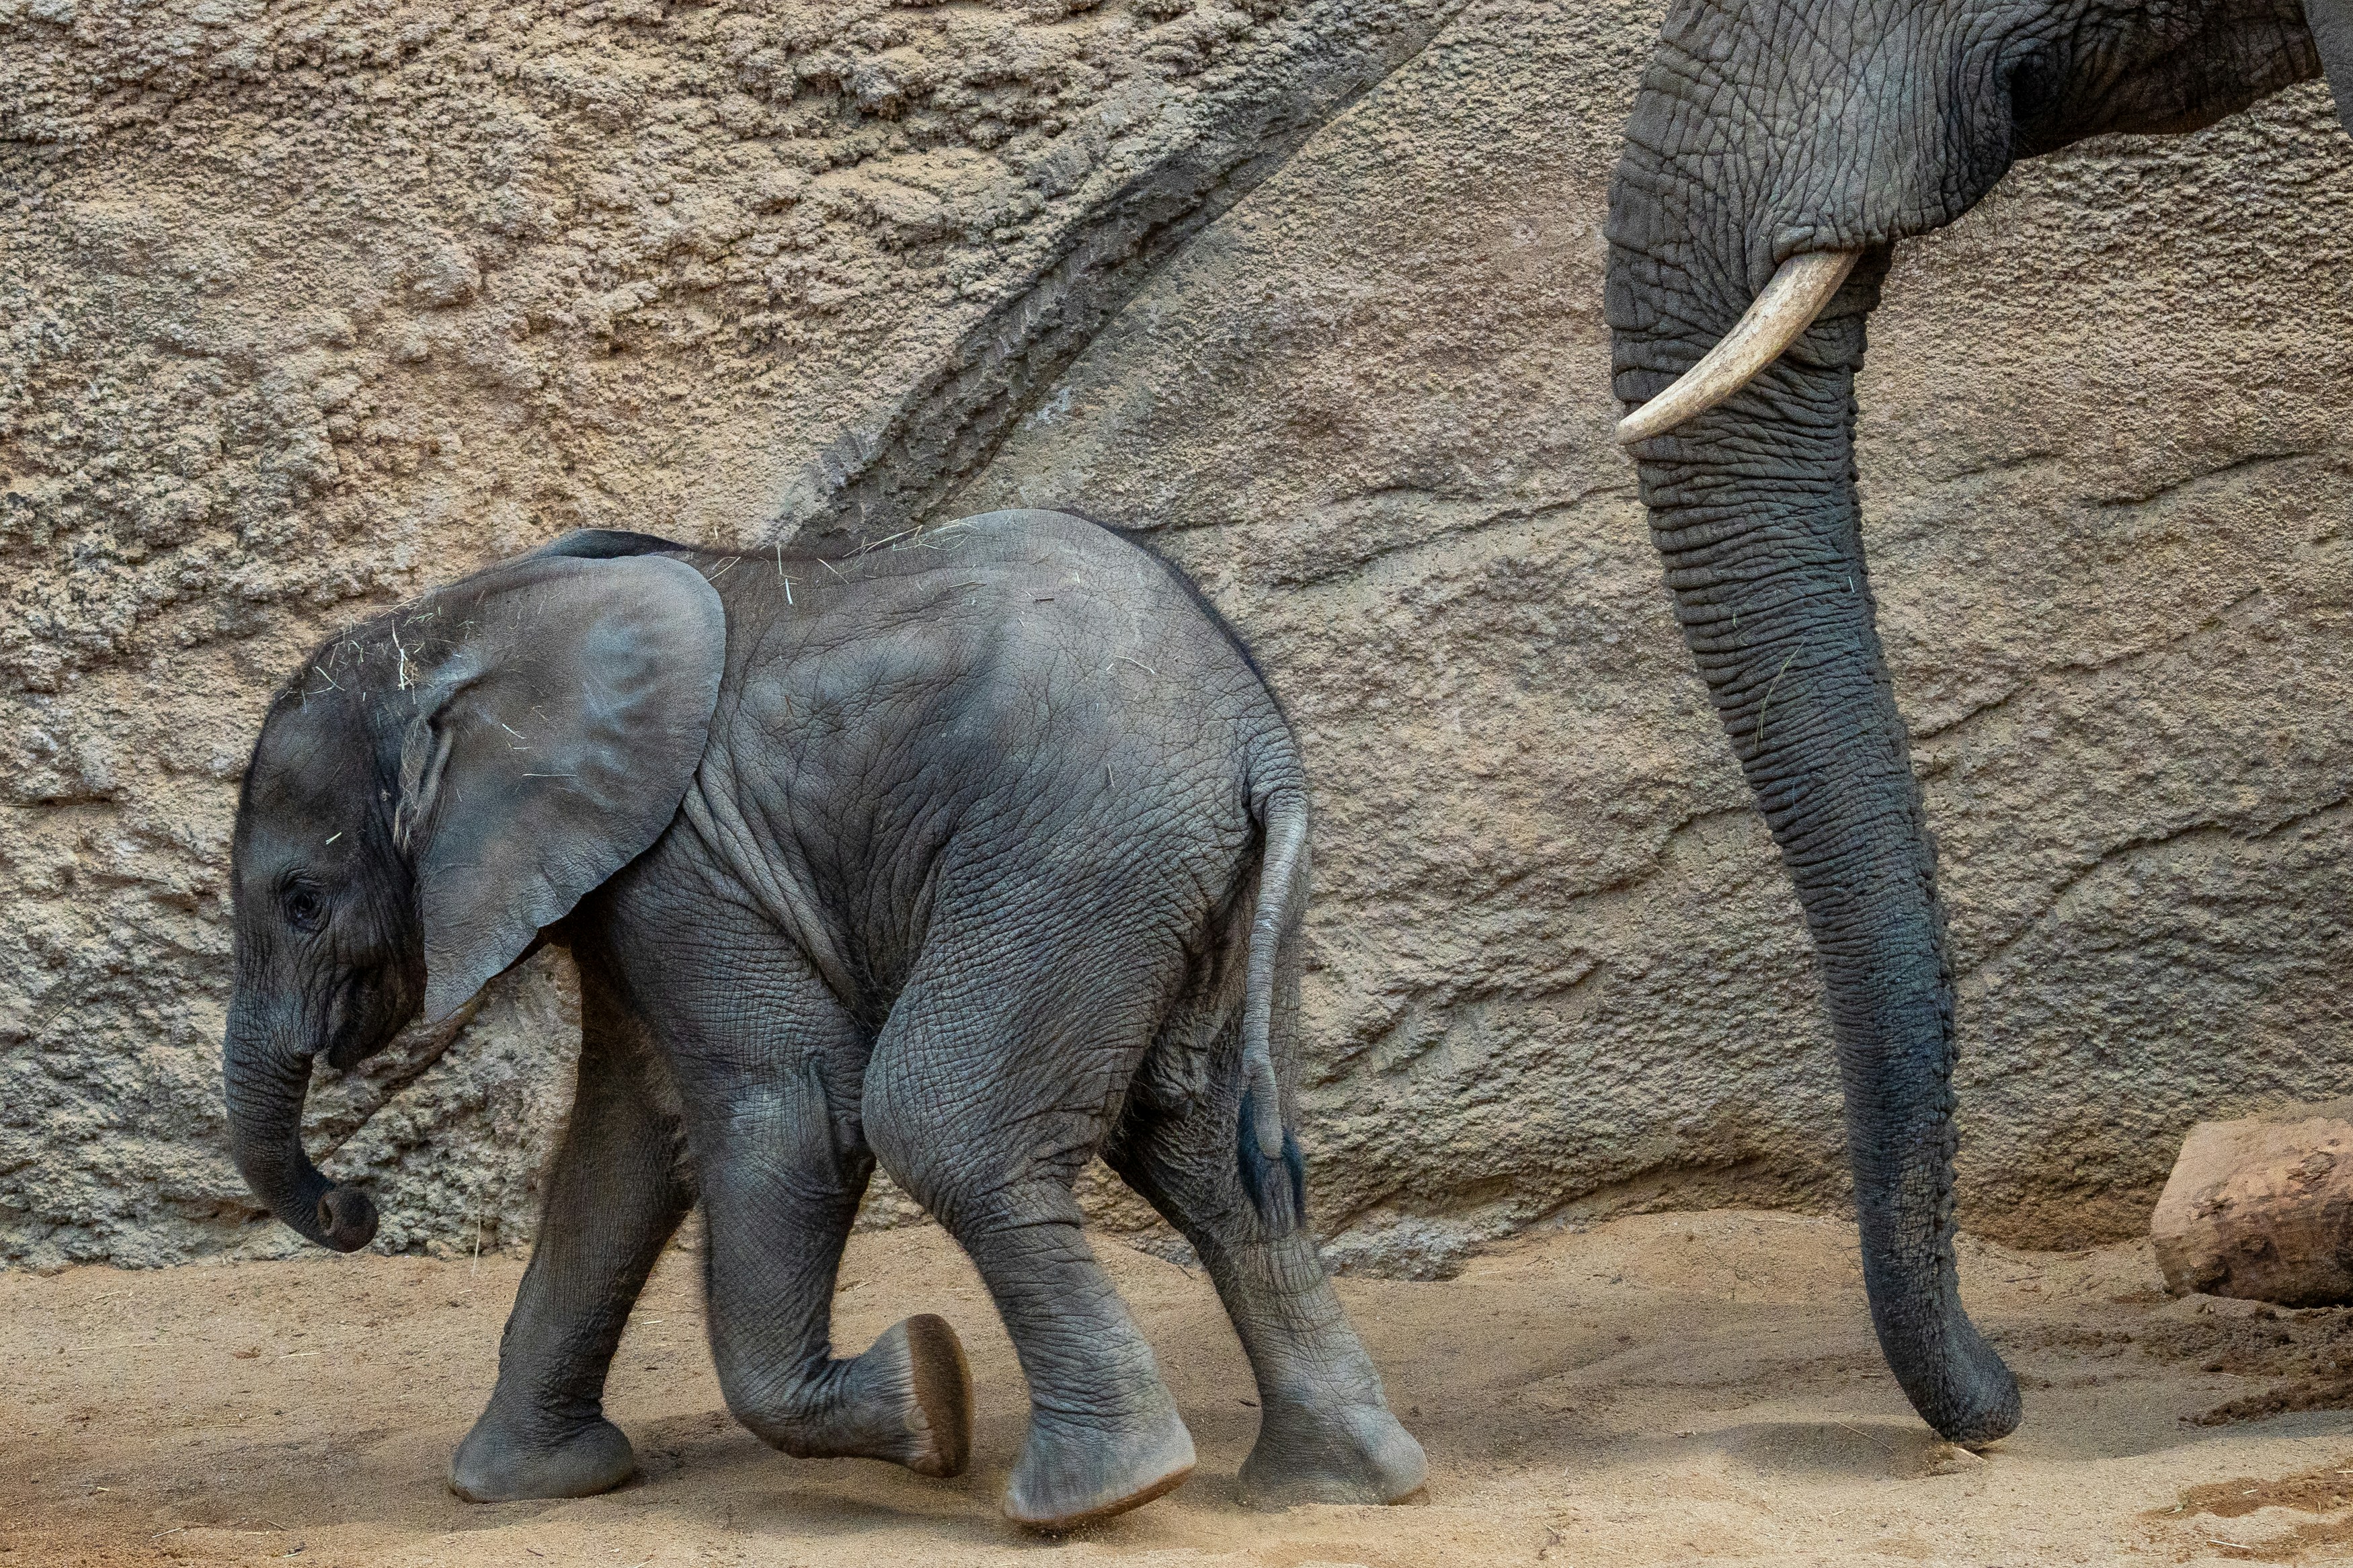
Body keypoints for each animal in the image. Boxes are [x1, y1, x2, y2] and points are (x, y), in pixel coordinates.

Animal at [220, 508, 1427, 1529]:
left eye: (302, 898)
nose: (353, 1207)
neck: (466, 622)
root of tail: (1259, 737)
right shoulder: (635, 881)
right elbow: (627, 1141)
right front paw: (524, 1486)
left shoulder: (682, 857)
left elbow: (788, 1108)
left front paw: (929, 1396)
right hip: (1193, 885)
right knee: (1214, 1156)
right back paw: (1335, 1487)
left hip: (1076, 853)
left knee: (942, 1123)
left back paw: (1096, 1496)